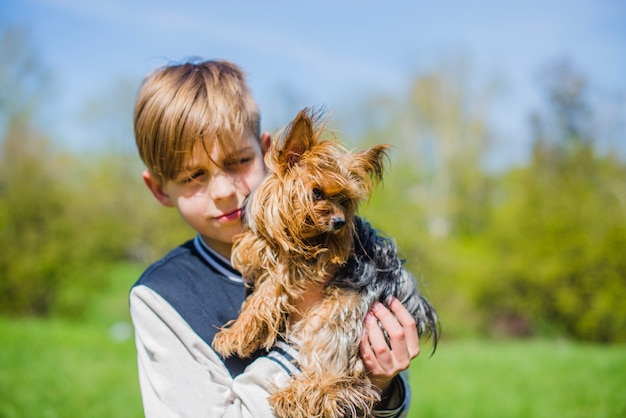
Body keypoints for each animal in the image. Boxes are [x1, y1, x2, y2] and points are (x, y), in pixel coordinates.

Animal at [212, 108, 436, 418]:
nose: (340, 222)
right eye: (316, 192)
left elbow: (263, 297)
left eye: (344, 200)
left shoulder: (295, 268)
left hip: (337, 315)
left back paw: (295, 396)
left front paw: (235, 335)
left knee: (335, 375)